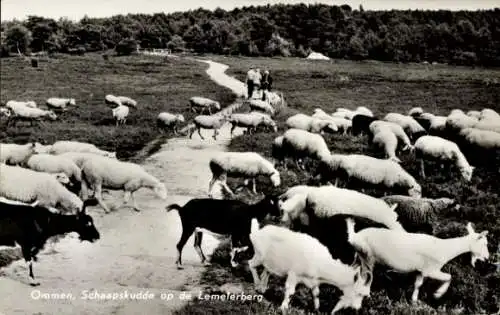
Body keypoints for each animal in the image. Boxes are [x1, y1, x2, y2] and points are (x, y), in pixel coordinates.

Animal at [234, 220, 372, 315]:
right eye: (359, 293)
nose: (357, 308)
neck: (320, 262)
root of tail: (256, 232)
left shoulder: (314, 280)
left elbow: (316, 294)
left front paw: (317, 309)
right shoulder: (293, 274)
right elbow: (290, 291)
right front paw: (283, 307)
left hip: (270, 262)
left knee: (266, 272)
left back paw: (262, 288)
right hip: (259, 255)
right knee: (251, 264)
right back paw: (257, 284)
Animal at [346, 218, 490, 304]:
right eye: (484, 243)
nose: (487, 258)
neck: (445, 248)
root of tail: (354, 236)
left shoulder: (421, 271)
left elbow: (418, 284)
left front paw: (414, 301)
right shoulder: (431, 270)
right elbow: (449, 277)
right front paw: (438, 294)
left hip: (359, 257)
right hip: (367, 257)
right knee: (366, 277)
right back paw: (366, 296)